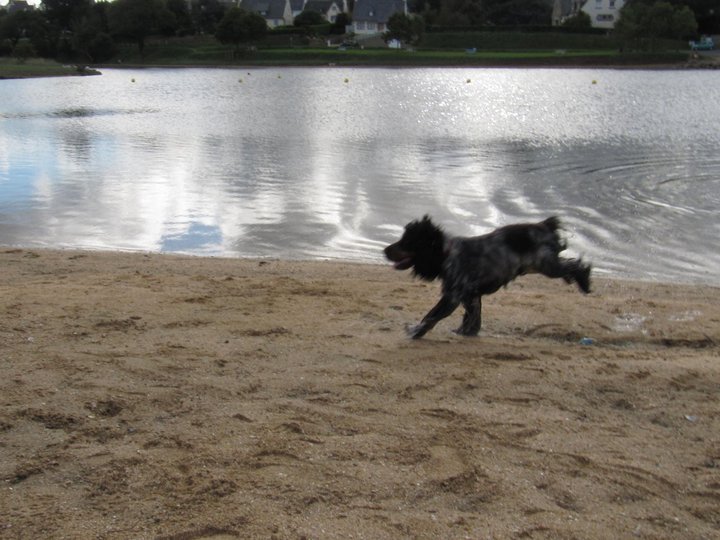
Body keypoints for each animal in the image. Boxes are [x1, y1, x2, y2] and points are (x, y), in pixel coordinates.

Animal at [382, 214, 592, 338]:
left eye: (406, 242)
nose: (384, 250)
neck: (447, 254)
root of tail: (545, 225)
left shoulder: (452, 296)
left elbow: (431, 316)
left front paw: (415, 332)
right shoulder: (471, 296)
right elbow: (473, 317)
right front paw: (466, 332)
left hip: (545, 265)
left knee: (575, 266)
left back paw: (584, 283)